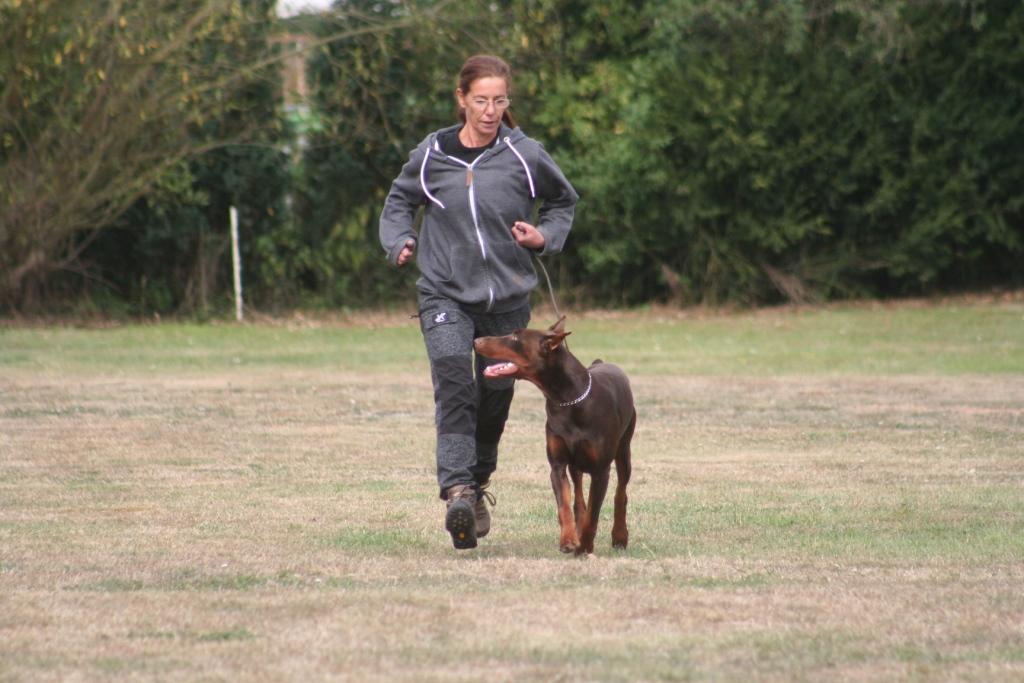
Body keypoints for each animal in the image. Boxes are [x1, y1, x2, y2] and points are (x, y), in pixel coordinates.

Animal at [474, 316, 635, 555]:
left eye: (515, 337)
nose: (477, 341)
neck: (570, 400)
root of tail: (602, 362)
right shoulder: (558, 465)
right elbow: (564, 505)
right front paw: (569, 540)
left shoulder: (600, 471)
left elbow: (594, 514)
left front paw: (585, 546)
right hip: (576, 464)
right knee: (579, 497)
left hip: (624, 450)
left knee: (620, 493)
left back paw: (620, 536)